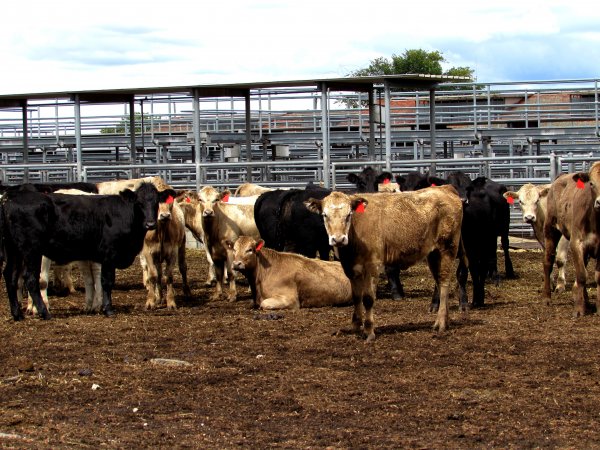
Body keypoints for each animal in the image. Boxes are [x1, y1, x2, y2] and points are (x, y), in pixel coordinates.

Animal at [0, 182, 175, 320]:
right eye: (139, 203)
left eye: (156, 202)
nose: (150, 224)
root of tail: (9, 200)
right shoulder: (109, 254)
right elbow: (106, 282)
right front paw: (108, 309)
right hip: (31, 251)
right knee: (30, 279)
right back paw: (44, 312)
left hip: (13, 250)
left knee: (10, 276)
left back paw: (17, 314)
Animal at [304, 186, 464, 342]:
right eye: (325, 215)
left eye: (349, 214)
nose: (338, 239)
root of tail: (445, 188)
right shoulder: (350, 268)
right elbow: (356, 297)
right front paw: (355, 327)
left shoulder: (372, 265)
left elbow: (368, 298)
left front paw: (369, 331)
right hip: (433, 254)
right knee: (439, 281)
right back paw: (444, 321)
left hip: (447, 248)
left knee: (444, 282)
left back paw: (441, 323)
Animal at [540, 164, 600, 316]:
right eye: (591, 183)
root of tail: (561, 176)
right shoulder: (576, 244)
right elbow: (581, 275)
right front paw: (579, 309)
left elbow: (597, 277)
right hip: (550, 229)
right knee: (548, 262)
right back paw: (547, 298)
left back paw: (586, 301)